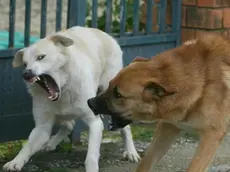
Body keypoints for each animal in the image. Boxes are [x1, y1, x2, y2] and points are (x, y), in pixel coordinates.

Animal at [3, 26, 139, 171]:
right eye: (25, 64)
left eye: (41, 57)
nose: (26, 74)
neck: (64, 89)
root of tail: (104, 34)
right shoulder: (42, 128)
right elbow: (26, 147)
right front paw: (15, 162)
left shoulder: (95, 123)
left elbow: (91, 156)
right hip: (60, 116)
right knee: (69, 125)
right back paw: (51, 143)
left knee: (125, 128)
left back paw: (131, 152)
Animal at [87, 33, 230, 172]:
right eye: (109, 85)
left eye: (118, 94)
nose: (90, 102)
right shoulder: (168, 127)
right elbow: (146, 161)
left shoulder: (211, 136)